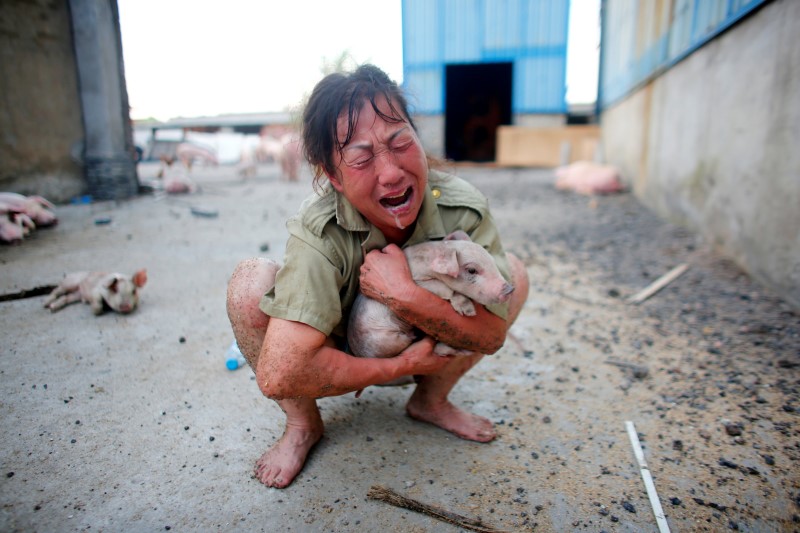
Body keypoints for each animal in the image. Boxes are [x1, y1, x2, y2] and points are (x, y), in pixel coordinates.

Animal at [346, 231, 516, 360]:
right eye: (472, 270)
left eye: (492, 261)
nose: (510, 289)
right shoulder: (419, 281)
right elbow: (445, 289)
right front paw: (468, 312)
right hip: (386, 340)